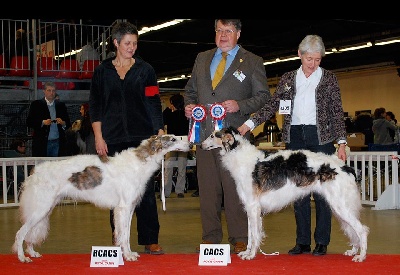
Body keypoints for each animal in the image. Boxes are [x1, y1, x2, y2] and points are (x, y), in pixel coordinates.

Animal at [13, 135, 191, 264]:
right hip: (40, 208)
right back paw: (22, 257)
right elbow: (124, 235)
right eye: (173, 139)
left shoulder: (129, 208)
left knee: (29, 234)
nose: (191, 145)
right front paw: (128, 256)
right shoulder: (123, 208)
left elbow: (125, 234)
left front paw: (128, 253)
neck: (139, 162)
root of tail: (35, 170)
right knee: (20, 233)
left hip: (44, 210)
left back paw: (32, 252)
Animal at [202, 127, 370, 264]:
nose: (200, 145)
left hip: (340, 205)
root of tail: (344, 166)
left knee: (361, 230)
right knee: (353, 230)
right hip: (340, 207)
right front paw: (246, 252)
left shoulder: (253, 207)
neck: (240, 155)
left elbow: (254, 235)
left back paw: (361, 256)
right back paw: (353, 251)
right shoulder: (251, 208)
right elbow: (250, 234)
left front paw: (251, 255)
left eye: (212, 135)